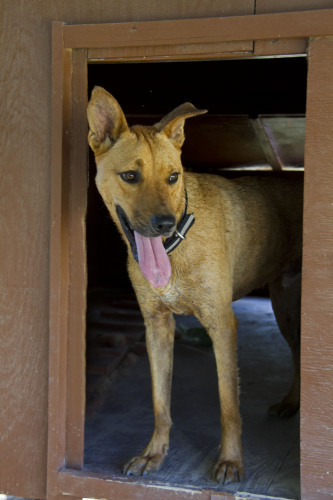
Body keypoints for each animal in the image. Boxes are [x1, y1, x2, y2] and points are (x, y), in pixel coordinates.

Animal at [87, 88, 302, 486]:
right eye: (130, 175)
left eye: (174, 177)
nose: (165, 224)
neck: (176, 247)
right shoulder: (157, 326)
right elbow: (160, 403)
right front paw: (154, 454)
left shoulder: (223, 325)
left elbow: (229, 405)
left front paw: (231, 461)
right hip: (284, 306)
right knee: (297, 353)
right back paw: (290, 403)